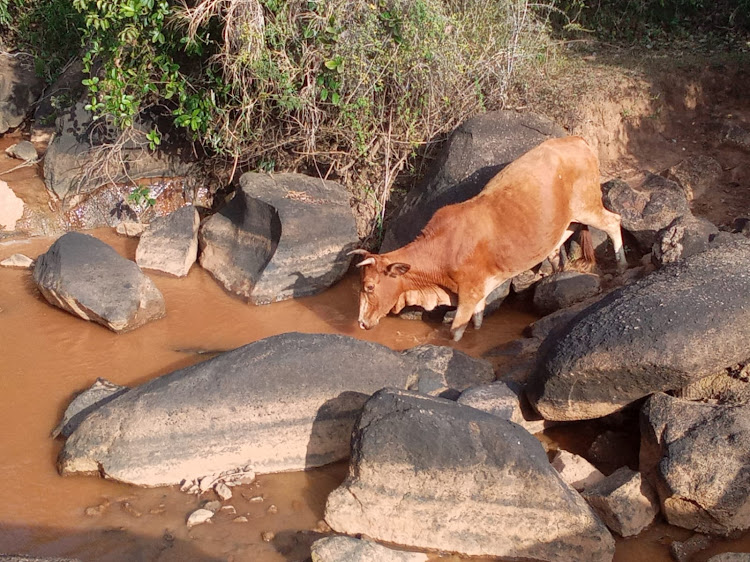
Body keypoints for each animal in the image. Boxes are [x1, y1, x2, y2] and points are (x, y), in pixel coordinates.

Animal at [352, 135, 628, 342]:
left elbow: (456, 332)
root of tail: (576, 140)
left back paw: (622, 263)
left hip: (588, 205)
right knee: (561, 238)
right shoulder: (479, 293)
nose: (362, 323)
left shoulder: (468, 294)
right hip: (567, 220)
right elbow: (478, 322)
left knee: (614, 221)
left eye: (369, 286)